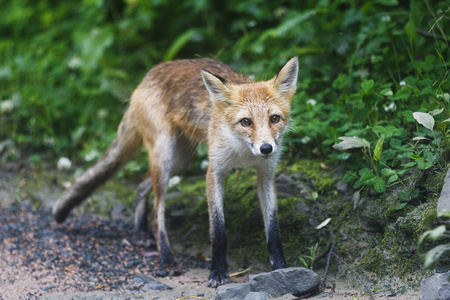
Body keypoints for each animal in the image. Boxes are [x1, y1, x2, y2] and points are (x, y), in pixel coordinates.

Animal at [52, 56, 298, 288]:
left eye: (274, 119)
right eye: (246, 122)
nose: (266, 148)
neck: (244, 153)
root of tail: (147, 77)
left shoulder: (266, 174)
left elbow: (273, 228)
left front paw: (280, 267)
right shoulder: (214, 172)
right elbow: (217, 230)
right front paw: (218, 271)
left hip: (180, 161)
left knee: (141, 185)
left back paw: (141, 232)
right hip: (164, 156)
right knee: (157, 211)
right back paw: (166, 258)